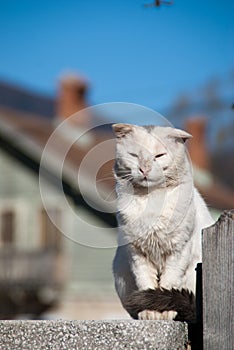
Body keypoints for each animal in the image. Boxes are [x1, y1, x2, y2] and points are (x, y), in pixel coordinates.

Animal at [111, 123, 214, 322]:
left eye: (159, 156)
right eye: (134, 155)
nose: (144, 169)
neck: (151, 200)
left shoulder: (178, 250)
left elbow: (168, 283)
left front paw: (165, 312)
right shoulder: (137, 254)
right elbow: (146, 283)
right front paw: (149, 311)